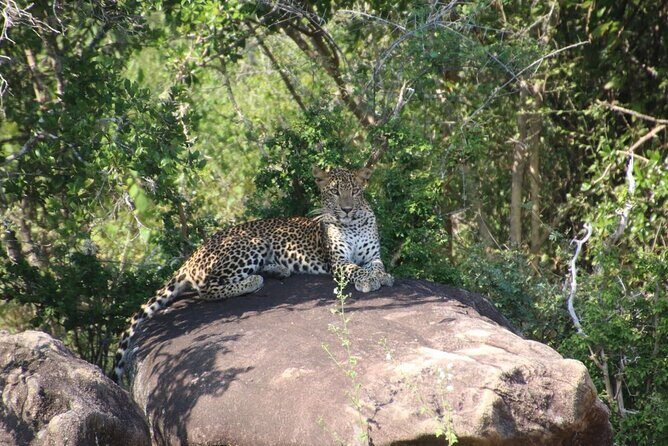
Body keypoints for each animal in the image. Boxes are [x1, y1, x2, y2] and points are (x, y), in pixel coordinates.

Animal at [111, 166, 393, 383]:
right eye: (334, 191)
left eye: (354, 191)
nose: (346, 209)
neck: (353, 224)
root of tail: (193, 254)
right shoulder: (337, 261)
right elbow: (355, 269)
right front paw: (369, 280)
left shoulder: (374, 256)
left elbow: (377, 266)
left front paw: (383, 277)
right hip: (249, 244)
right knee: (207, 289)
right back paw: (253, 281)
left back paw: (278, 269)